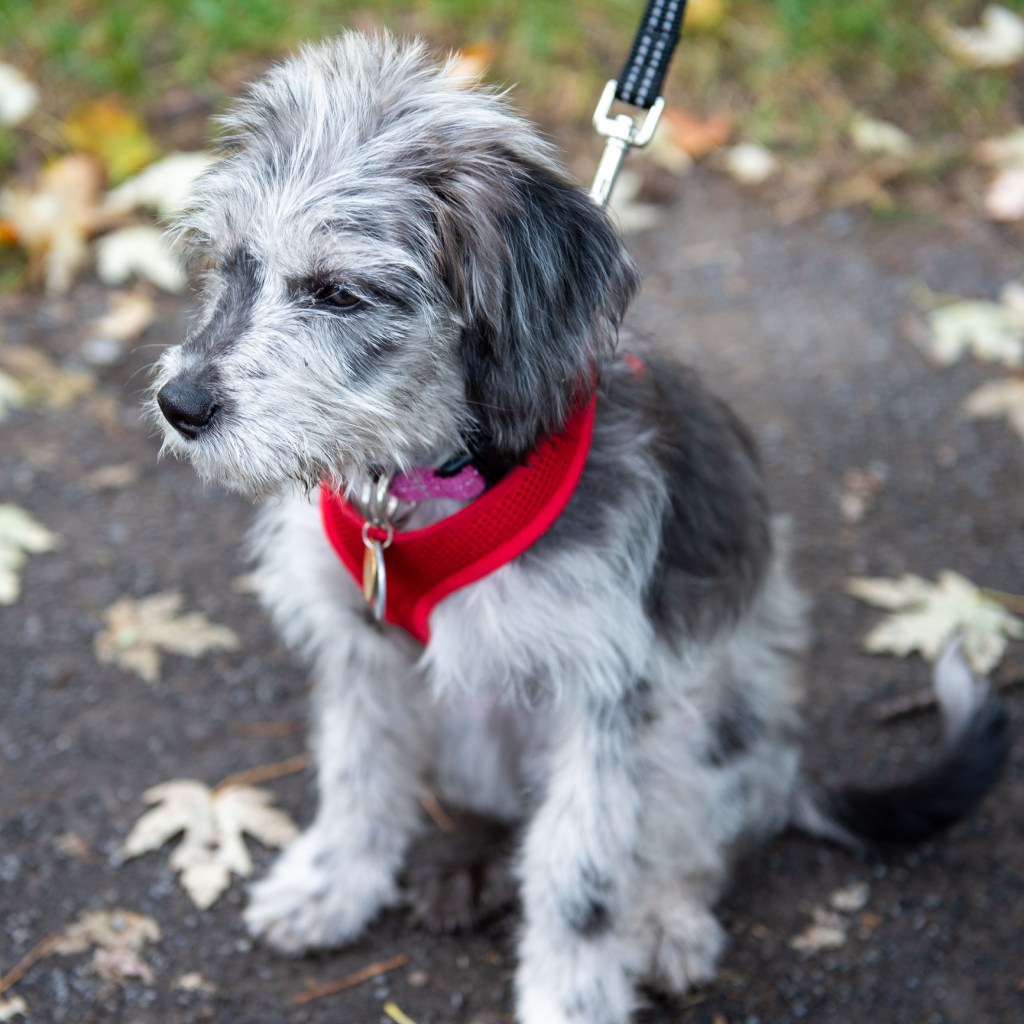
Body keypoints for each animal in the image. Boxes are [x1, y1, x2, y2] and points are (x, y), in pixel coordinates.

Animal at [149, 32, 1007, 1024]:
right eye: (227, 266)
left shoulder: (603, 696)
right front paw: (336, 884)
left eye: (338, 294)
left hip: (698, 733)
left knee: (688, 850)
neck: (431, 480)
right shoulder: (362, 651)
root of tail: (789, 776)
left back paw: (667, 924)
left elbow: (582, 873)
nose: (180, 405)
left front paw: (574, 992)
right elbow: (360, 779)